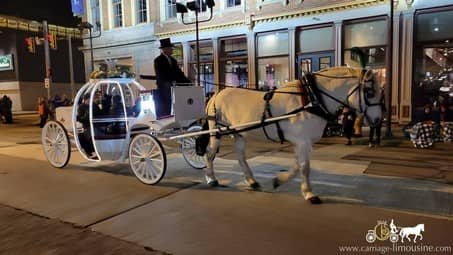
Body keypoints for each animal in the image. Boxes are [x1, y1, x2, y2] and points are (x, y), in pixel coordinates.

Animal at [201, 66, 382, 203]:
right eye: (370, 91)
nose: (378, 119)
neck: (311, 98)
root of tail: (217, 94)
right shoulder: (303, 140)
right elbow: (304, 167)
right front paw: (309, 193)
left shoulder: (303, 142)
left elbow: (298, 166)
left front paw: (279, 181)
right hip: (216, 132)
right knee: (210, 154)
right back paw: (211, 178)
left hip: (239, 133)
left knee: (240, 157)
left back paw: (252, 181)